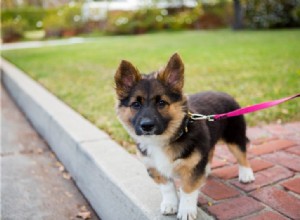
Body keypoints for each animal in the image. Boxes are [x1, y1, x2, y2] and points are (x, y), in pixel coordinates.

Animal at [113, 52, 254, 219]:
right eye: (135, 104)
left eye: (162, 103)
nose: (146, 126)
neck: (163, 140)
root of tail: (224, 93)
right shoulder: (155, 167)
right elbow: (167, 188)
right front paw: (170, 205)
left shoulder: (192, 169)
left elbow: (188, 190)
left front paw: (186, 211)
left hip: (234, 137)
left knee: (241, 154)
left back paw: (246, 175)